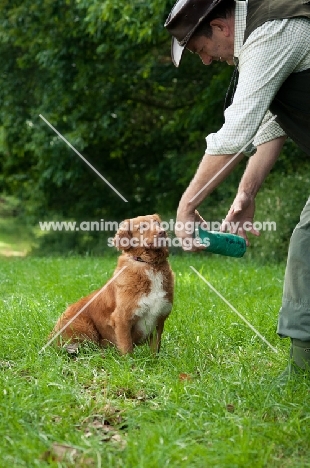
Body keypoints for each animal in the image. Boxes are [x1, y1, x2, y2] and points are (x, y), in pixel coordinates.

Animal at [49, 215, 173, 354]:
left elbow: (154, 350)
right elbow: (127, 348)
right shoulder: (122, 318)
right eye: (142, 227)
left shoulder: (158, 320)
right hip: (84, 326)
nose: (162, 232)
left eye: (158, 223)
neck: (149, 264)